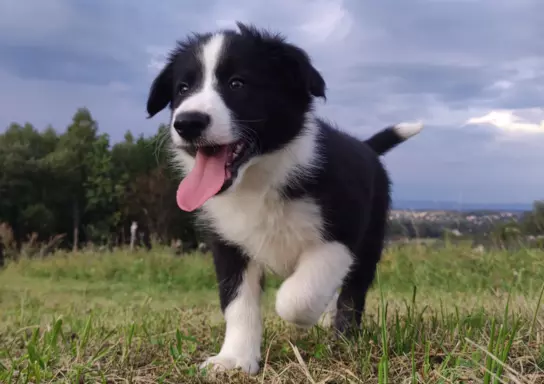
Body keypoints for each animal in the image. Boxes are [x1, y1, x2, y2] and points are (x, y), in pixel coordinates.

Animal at [147, 21, 422, 376]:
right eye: (182, 88)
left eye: (237, 83)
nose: (187, 122)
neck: (260, 178)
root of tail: (366, 147)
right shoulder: (229, 244)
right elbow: (237, 303)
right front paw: (234, 359)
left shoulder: (342, 232)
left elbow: (296, 297)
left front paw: (305, 315)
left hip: (371, 236)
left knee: (353, 292)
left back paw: (343, 335)